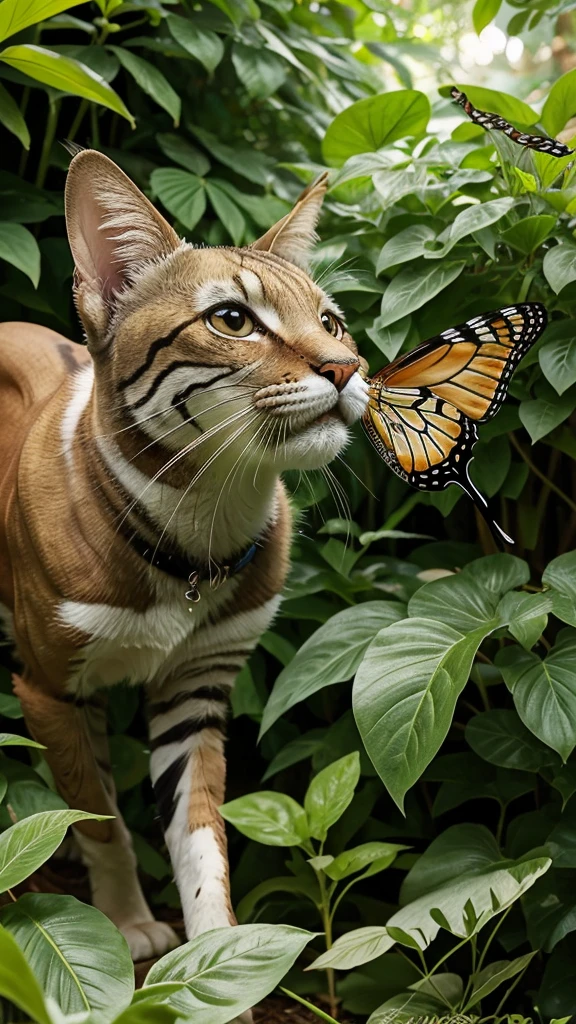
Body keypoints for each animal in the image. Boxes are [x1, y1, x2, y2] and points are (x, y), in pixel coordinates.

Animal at [0, 151, 366, 991]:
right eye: (232, 319)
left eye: (330, 320)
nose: (349, 367)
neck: (203, 519)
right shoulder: (46, 686)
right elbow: (98, 819)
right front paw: (128, 924)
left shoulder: (198, 686)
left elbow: (203, 841)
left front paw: (219, 962)